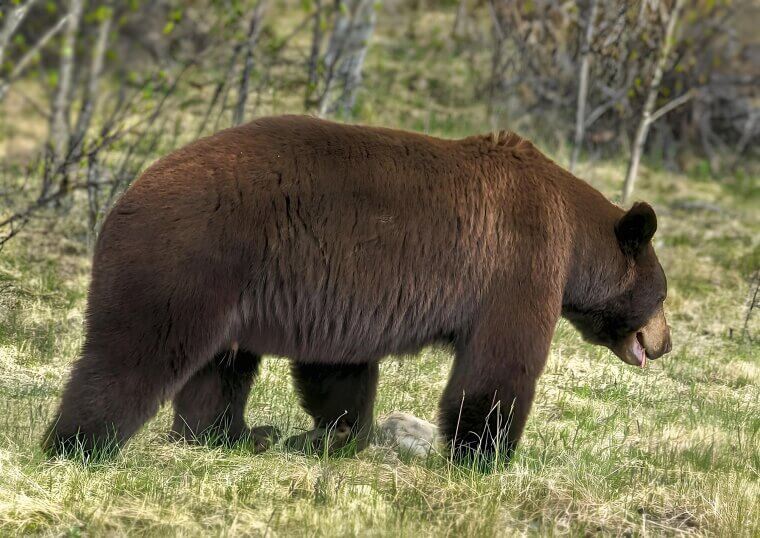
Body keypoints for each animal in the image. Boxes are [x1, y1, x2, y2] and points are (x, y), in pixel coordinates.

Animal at [43, 115, 672, 463]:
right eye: (664, 296)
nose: (665, 343)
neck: (574, 242)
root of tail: (125, 197)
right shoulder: (520, 262)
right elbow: (499, 366)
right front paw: (484, 455)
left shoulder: (336, 295)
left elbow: (338, 367)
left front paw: (341, 434)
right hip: (190, 259)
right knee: (134, 355)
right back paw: (77, 444)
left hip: (232, 287)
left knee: (220, 369)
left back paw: (232, 436)